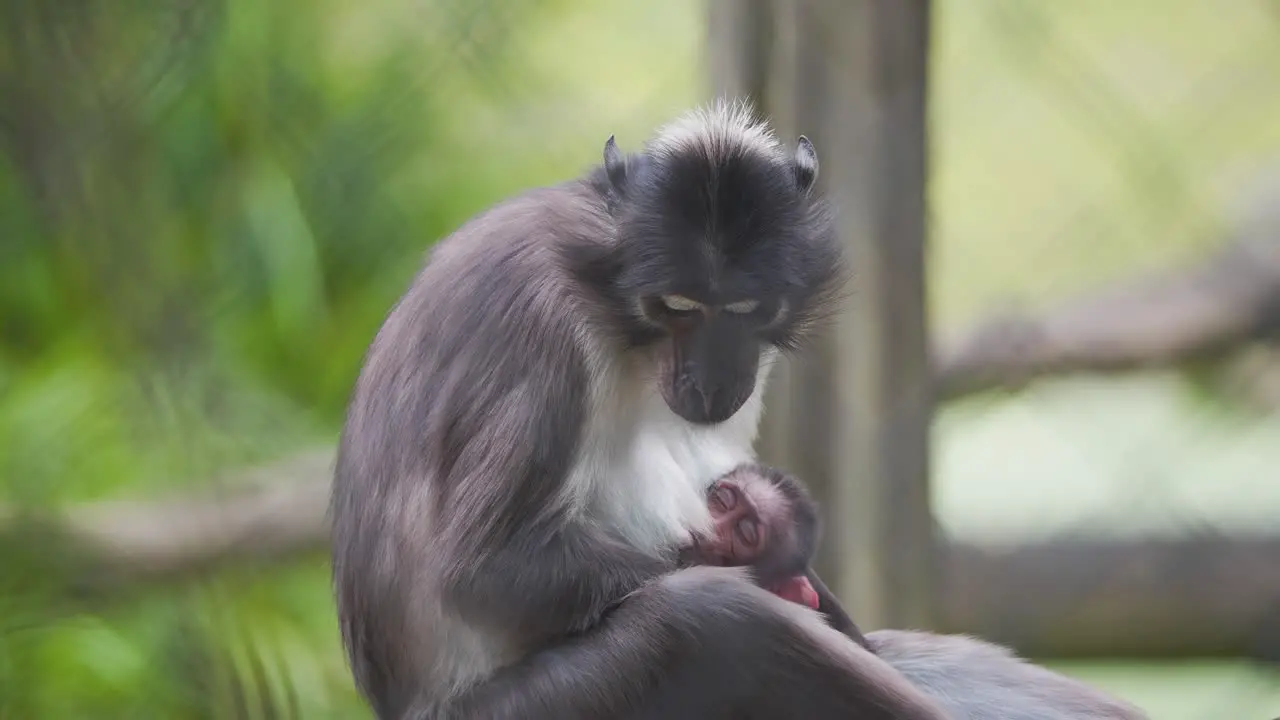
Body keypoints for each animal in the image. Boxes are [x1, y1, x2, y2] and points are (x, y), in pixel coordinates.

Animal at [330, 102, 952, 717]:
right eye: (678, 306)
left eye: (745, 308)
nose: (709, 385)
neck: (614, 310)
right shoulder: (546, 329)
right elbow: (483, 569)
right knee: (707, 615)